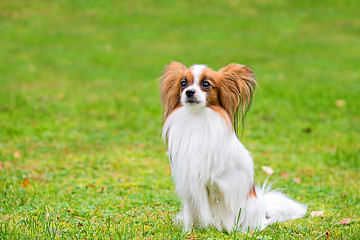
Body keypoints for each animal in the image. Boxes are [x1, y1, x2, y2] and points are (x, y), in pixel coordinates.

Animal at [160, 62, 306, 232]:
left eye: (206, 84)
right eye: (183, 84)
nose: (189, 92)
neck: (197, 118)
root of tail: (264, 214)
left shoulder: (229, 183)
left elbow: (227, 208)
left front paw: (230, 231)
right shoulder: (188, 183)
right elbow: (190, 212)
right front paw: (187, 232)